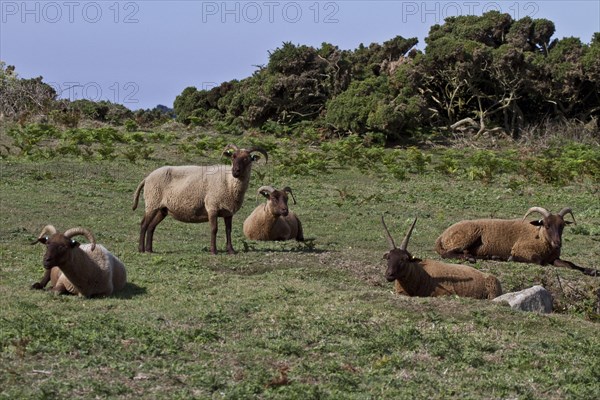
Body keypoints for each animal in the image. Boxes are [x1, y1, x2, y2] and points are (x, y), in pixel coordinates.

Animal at [136, 144, 270, 255]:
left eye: (247, 159)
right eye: (233, 156)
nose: (235, 171)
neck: (229, 182)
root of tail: (147, 178)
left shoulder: (228, 212)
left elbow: (228, 230)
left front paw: (231, 251)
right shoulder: (212, 206)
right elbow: (214, 229)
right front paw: (214, 251)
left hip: (162, 209)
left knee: (151, 226)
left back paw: (149, 250)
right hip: (152, 202)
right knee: (143, 224)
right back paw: (141, 249)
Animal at [434, 206, 596, 276]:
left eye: (562, 226)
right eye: (546, 225)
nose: (558, 243)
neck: (540, 237)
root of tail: (442, 236)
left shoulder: (554, 258)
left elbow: (571, 264)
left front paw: (592, 270)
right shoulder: (521, 249)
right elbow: (538, 261)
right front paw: (511, 258)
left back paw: (487, 256)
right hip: (467, 236)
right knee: (447, 253)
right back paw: (471, 259)